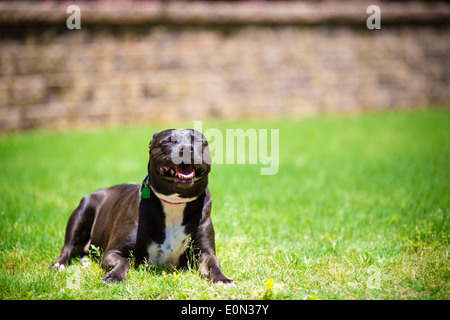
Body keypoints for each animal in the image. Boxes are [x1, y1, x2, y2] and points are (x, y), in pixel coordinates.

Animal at [51, 129, 234, 284]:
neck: (174, 202)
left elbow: (213, 264)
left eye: (198, 141)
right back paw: (60, 264)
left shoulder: (205, 252)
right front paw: (114, 277)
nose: (187, 148)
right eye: (169, 141)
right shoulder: (112, 252)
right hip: (82, 212)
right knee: (68, 245)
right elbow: (124, 262)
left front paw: (223, 279)